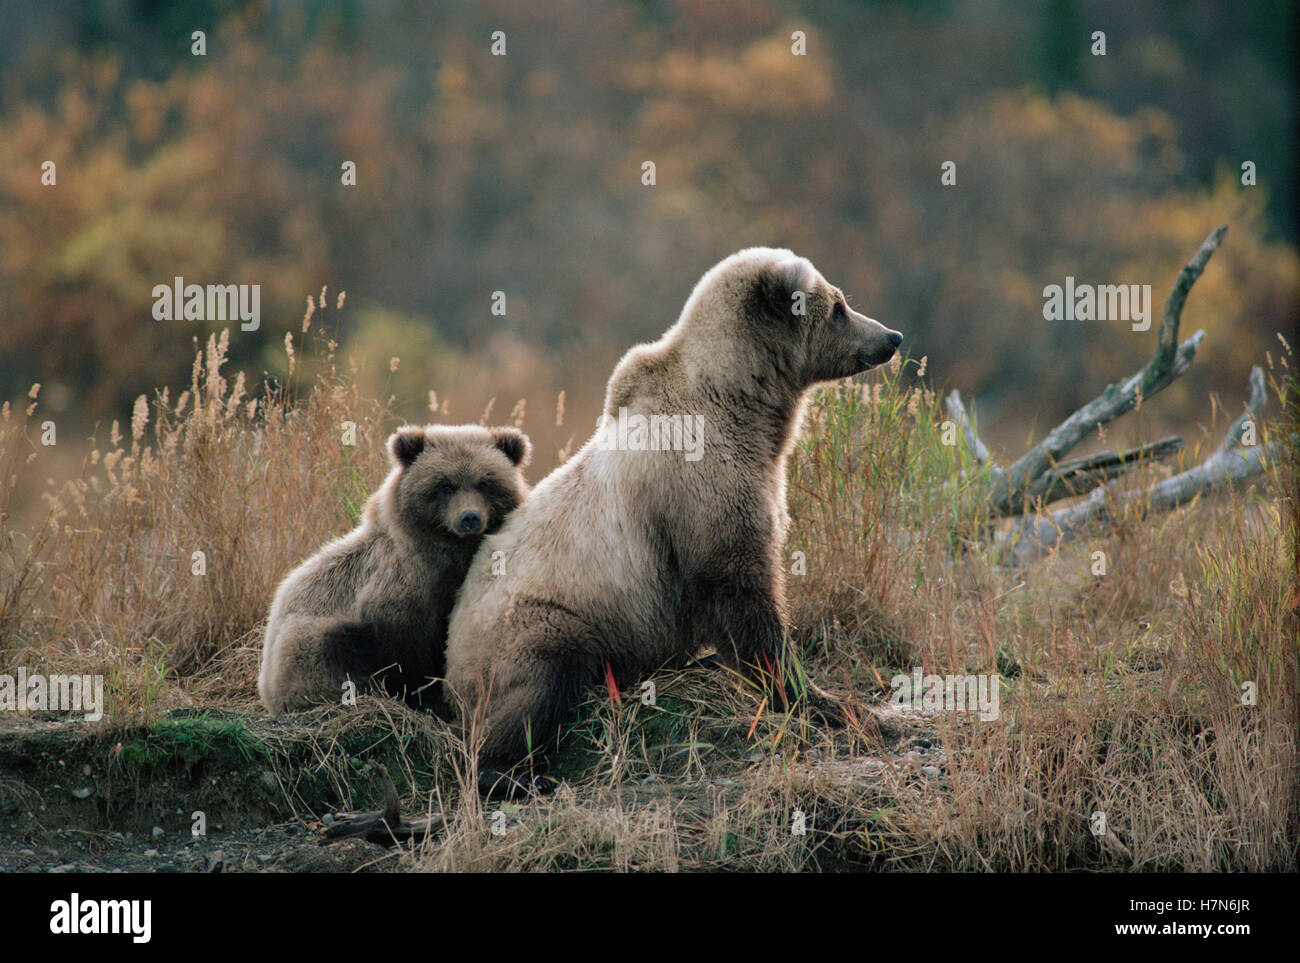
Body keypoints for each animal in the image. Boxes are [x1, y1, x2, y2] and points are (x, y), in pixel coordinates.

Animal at [258, 423, 531, 717]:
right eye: (445, 485)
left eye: (485, 483)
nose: (469, 517)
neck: (445, 553)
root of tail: (267, 688)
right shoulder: (398, 586)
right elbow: (405, 651)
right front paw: (428, 698)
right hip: (309, 643)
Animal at [443, 248, 902, 793]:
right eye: (838, 307)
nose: (891, 337)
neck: (746, 408)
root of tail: (448, 662)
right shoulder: (700, 489)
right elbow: (742, 593)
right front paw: (827, 702)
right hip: (539, 622)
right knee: (537, 679)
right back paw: (510, 772)